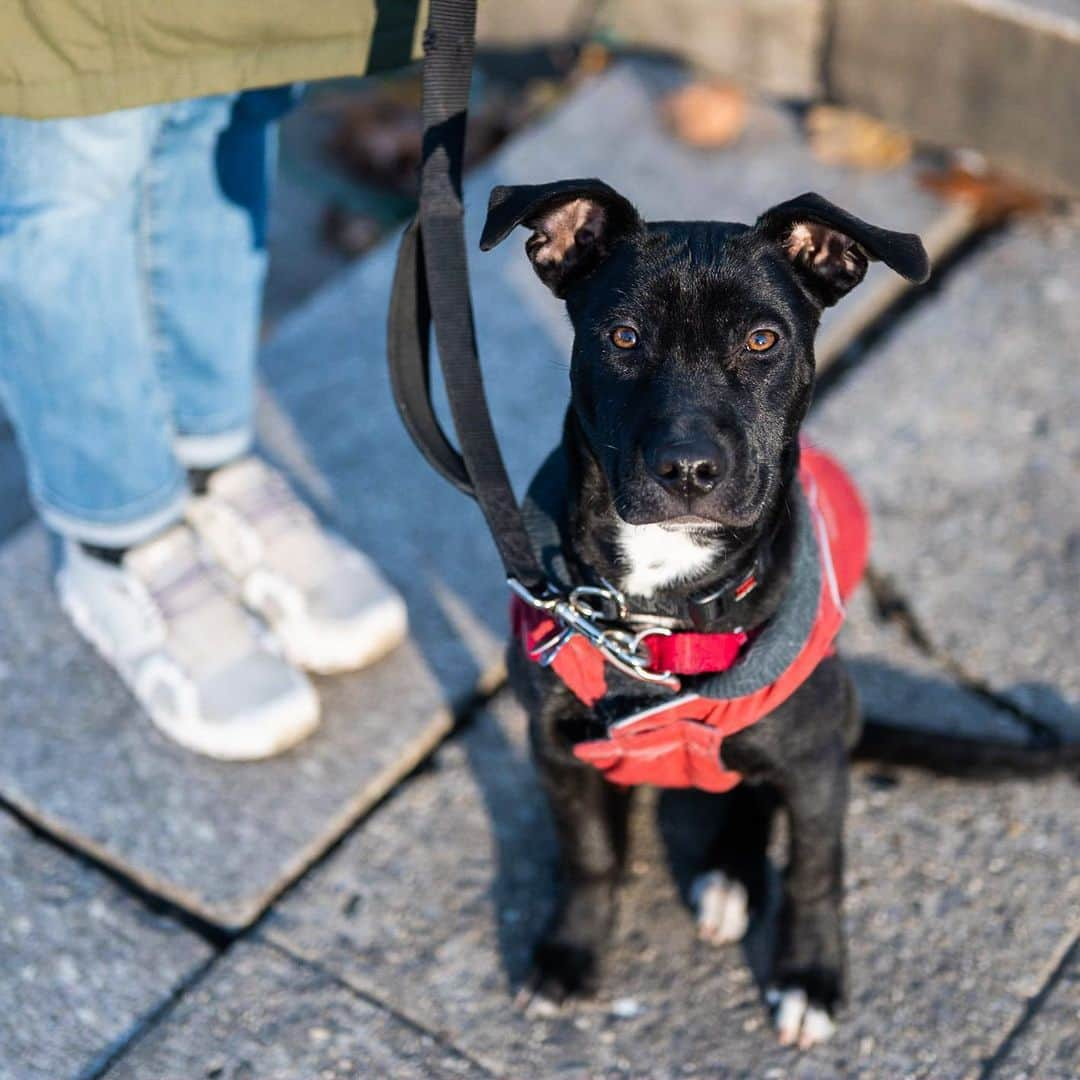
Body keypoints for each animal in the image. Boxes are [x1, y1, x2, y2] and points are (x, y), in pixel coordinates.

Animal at [481, 181, 928, 1049]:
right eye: (622, 336)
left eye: (763, 339)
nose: (687, 469)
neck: (656, 611)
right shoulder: (554, 748)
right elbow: (588, 857)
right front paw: (571, 953)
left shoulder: (815, 760)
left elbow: (817, 870)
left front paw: (810, 976)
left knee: (753, 791)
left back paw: (729, 874)